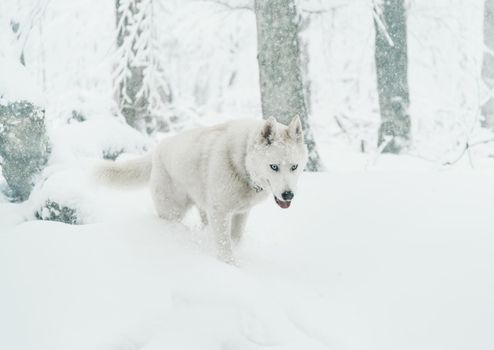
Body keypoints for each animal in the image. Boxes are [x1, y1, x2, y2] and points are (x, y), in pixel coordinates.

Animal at [95, 117, 306, 262]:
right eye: (274, 167)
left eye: (294, 167)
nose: (288, 195)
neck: (241, 163)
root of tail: (157, 150)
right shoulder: (220, 212)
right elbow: (225, 247)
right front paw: (231, 267)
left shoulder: (241, 213)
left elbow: (235, 238)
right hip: (173, 211)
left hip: (203, 208)